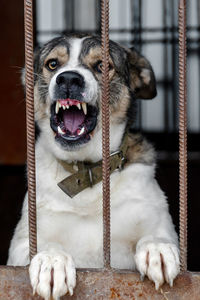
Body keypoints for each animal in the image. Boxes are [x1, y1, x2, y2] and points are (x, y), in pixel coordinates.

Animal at [7, 34, 180, 300]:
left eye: (102, 65)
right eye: (53, 64)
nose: (69, 79)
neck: (86, 172)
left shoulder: (159, 222)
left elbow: (156, 234)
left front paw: (157, 248)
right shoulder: (23, 243)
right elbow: (43, 246)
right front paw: (51, 260)